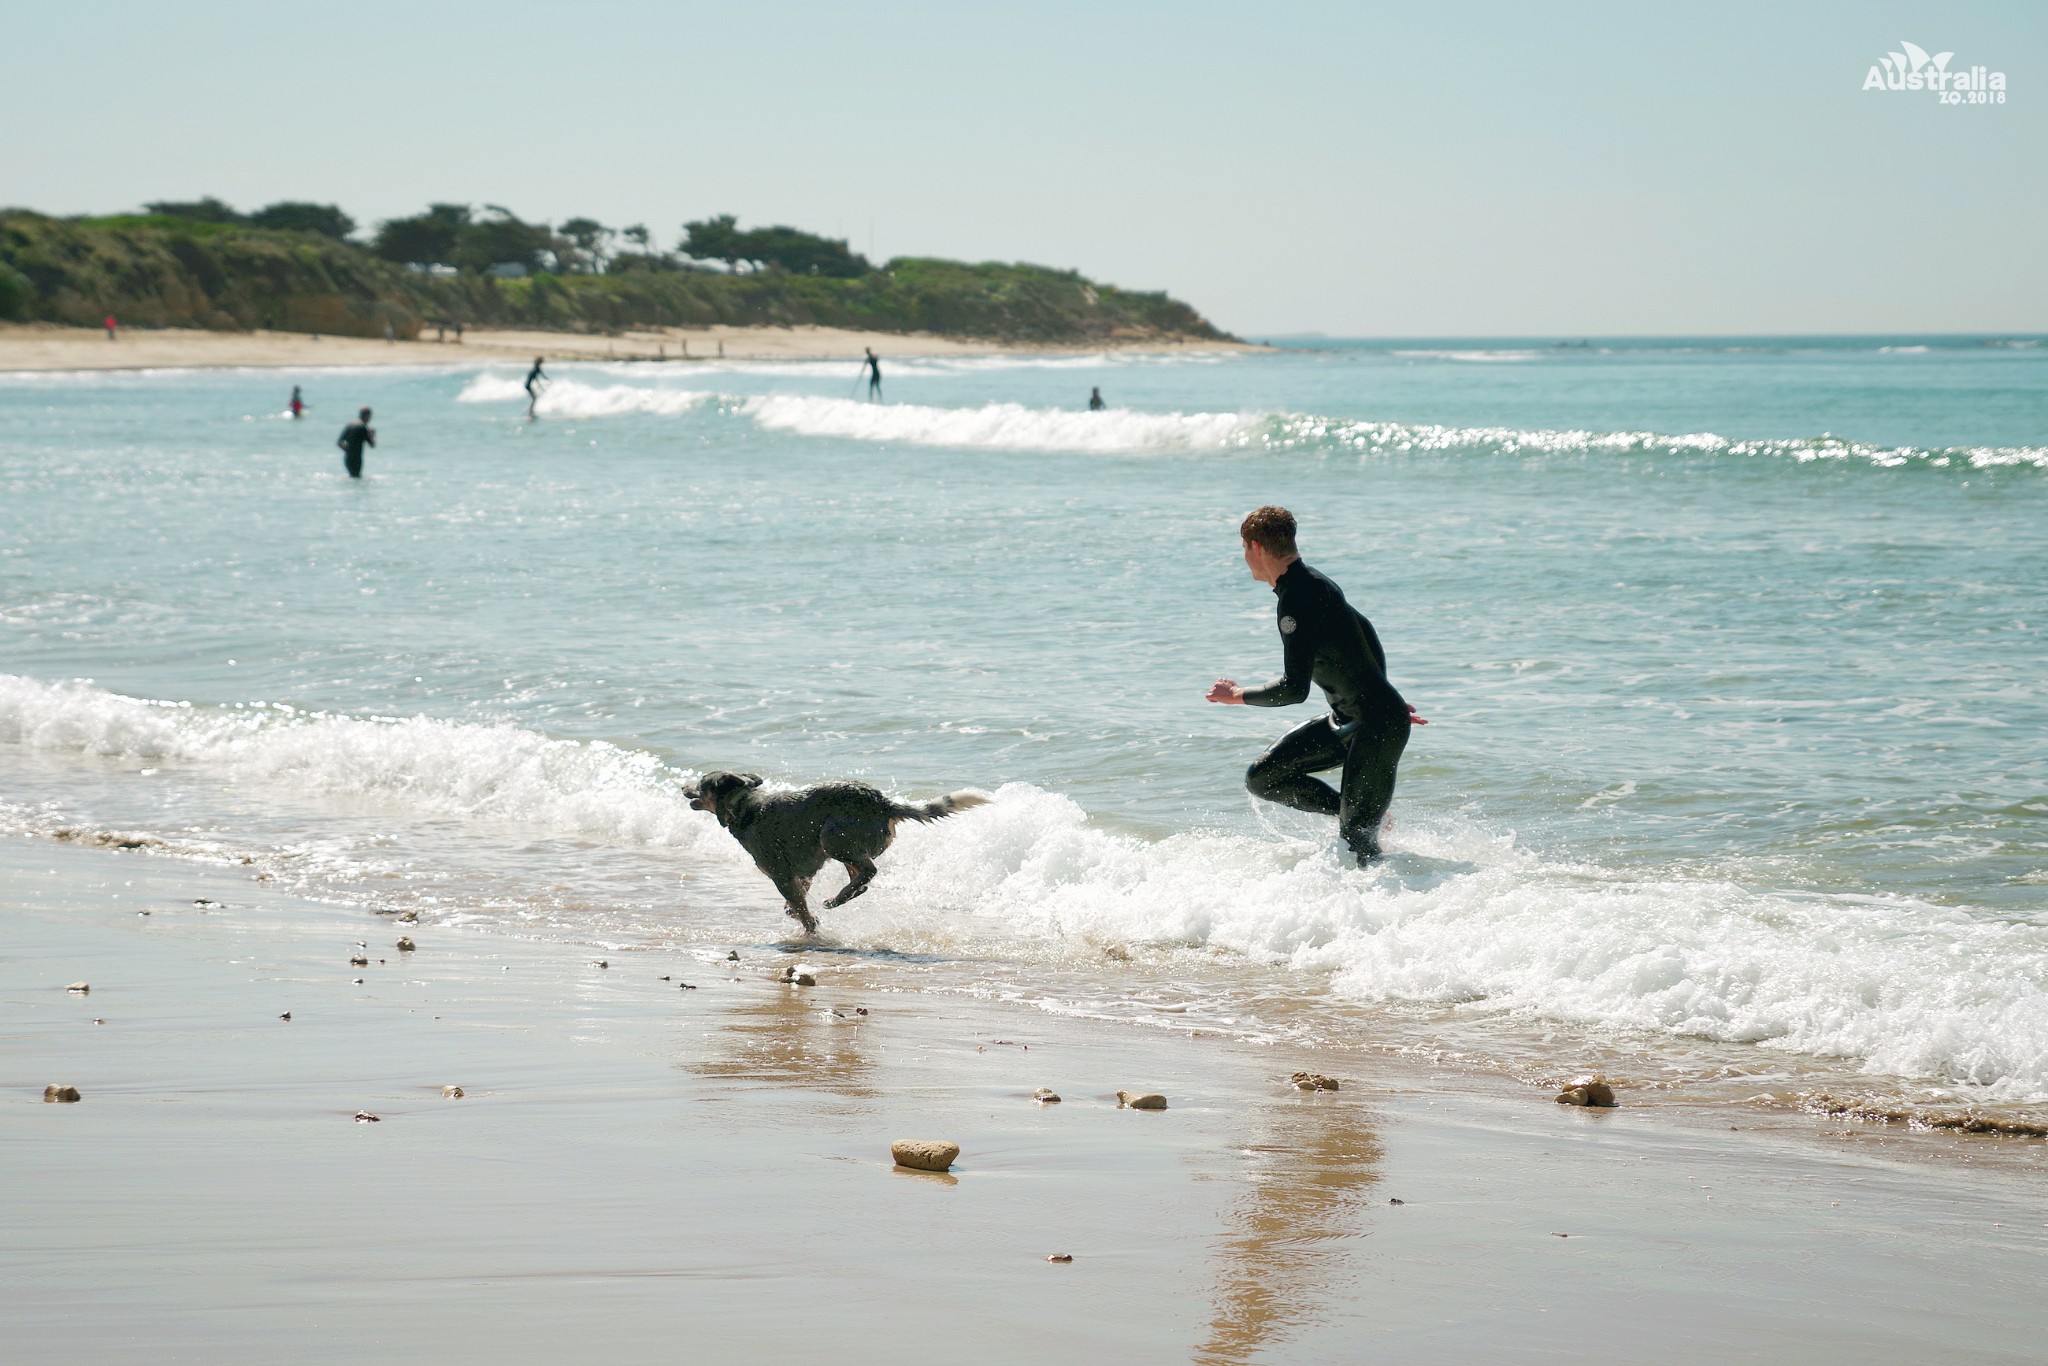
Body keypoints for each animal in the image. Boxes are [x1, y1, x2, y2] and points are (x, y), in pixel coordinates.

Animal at [688, 774, 991, 933]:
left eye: (701, 784)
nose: (682, 787)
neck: (743, 805)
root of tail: (884, 803)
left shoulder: (780, 874)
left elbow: (800, 908)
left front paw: (810, 928)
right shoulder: (804, 871)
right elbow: (795, 903)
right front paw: (798, 915)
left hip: (832, 837)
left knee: (869, 871)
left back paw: (836, 899)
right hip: (840, 845)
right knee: (862, 879)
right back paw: (841, 897)